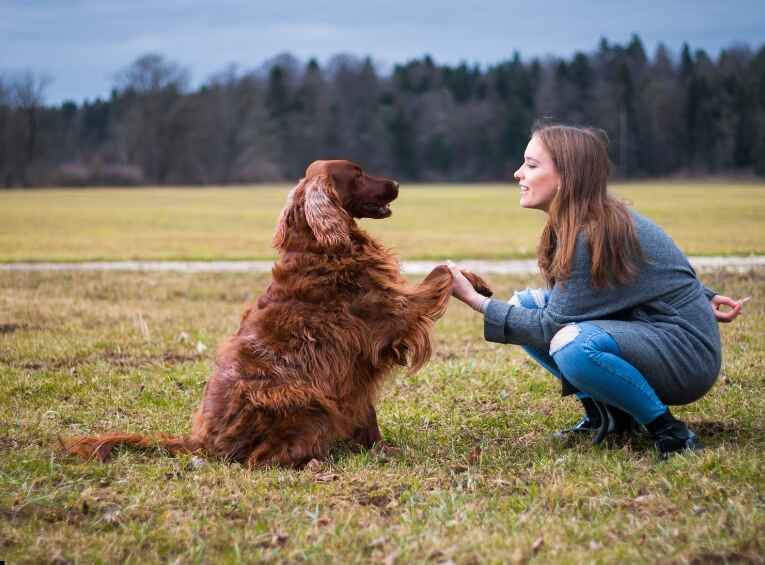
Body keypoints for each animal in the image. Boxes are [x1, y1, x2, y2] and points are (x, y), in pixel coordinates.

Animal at [62, 160, 492, 468]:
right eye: (357, 173)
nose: (398, 184)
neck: (319, 247)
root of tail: (201, 441)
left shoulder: (357, 368)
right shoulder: (392, 315)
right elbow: (440, 273)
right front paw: (471, 280)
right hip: (305, 399)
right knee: (260, 460)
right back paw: (314, 462)